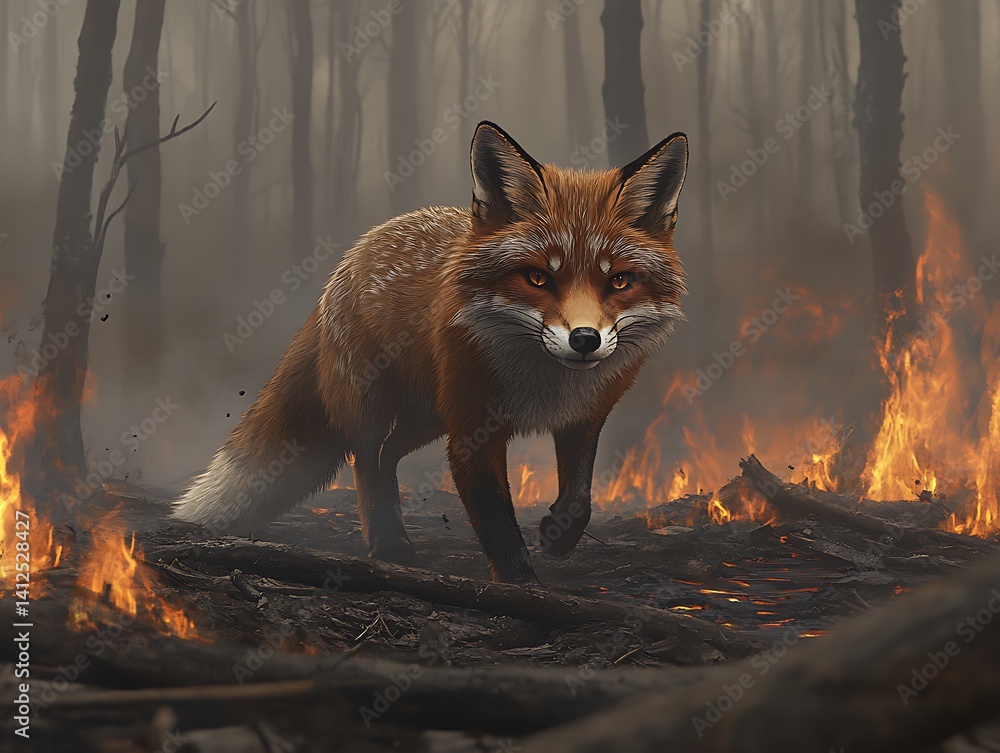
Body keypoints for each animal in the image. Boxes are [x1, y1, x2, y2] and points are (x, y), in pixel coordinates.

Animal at [173, 121, 688, 583]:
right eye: (538, 277)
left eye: (618, 281)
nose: (584, 339)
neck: (545, 384)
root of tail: (354, 254)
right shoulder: (471, 435)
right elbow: (497, 523)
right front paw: (522, 586)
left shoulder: (583, 417)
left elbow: (580, 498)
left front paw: (558, 536)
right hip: (379, 406)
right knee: (367, 461)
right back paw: (388, 544)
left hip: (428, 416)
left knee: (387, 457)